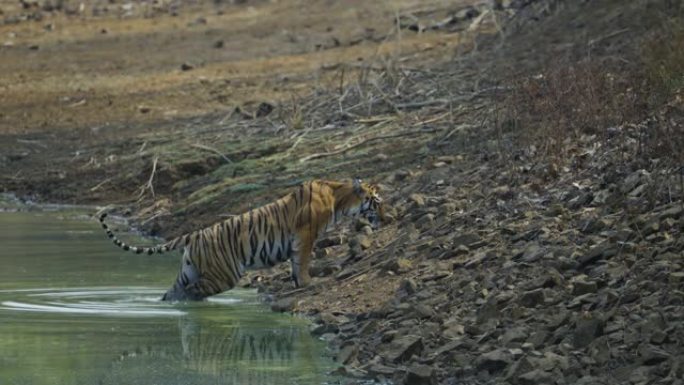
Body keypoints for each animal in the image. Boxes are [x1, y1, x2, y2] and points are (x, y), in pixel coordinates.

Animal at [99, 178, 382, 302]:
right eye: (377, 202)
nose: (388, 214)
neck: (340, 198)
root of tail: (195, 233)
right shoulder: (306, 235)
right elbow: (301, 262)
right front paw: (308, 283)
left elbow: (295, 264)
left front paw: (298, 283)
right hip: (224, 274)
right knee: (193, 292)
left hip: (189, 271)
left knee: (173, 292)